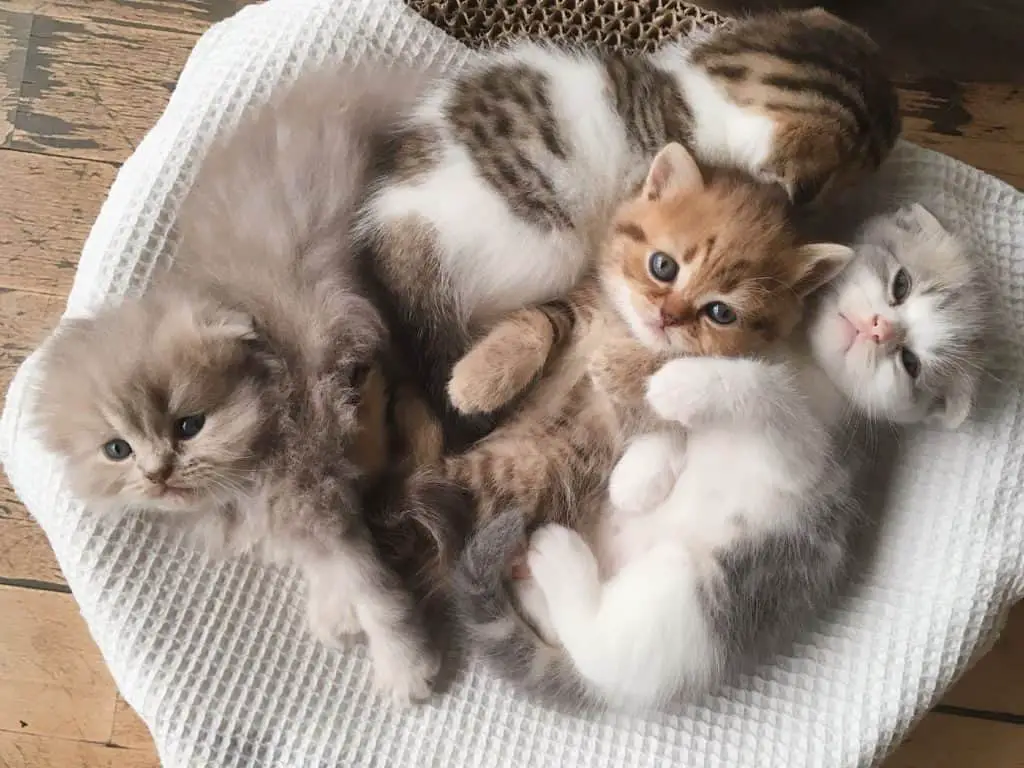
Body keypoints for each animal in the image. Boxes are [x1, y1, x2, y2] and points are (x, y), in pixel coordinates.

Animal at [32, 64, 446, 704]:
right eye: (117, 450)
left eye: (190, 426)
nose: (159, 473)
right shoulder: (311, 493)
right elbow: (329, 558)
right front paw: (335, 612)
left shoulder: (312, 482)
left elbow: (371, 585)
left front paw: (406, 669)